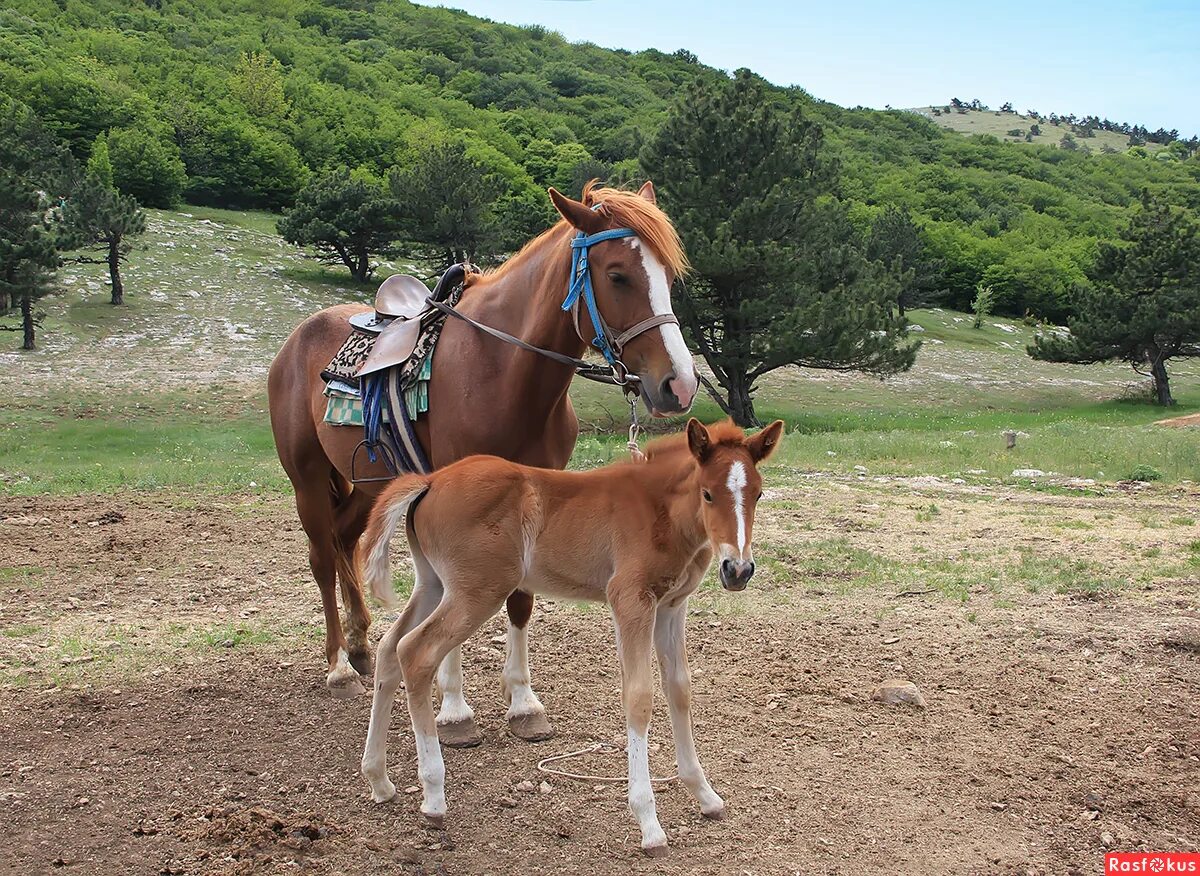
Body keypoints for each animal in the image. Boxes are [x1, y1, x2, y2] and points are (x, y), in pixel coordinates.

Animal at [267, 181, 700, 739]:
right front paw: (453, 708)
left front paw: (523, 702)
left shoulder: (535, 491)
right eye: (617, 275)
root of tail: (298, 339)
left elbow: (521, 598)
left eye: (668, 275)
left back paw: (361, 645)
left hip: (367, 483)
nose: (680, 384)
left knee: (345, 542)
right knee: (322, 557)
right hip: (306, 478)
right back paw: (339, 666)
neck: (501, 368)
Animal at [360, 415, 782, 854]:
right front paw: (649, 822)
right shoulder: (630, 600)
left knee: (390, 649)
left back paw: (379, 779)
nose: (738, 569)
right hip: (476, 592)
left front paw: (704, 794)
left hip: (434, 584)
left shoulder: (671, 607)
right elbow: (639, 697)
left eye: (758, 493)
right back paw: (433, 794)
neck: (661, 509)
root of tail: (430, 480)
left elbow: (679, 690)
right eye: (708, 494)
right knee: (416, 653)